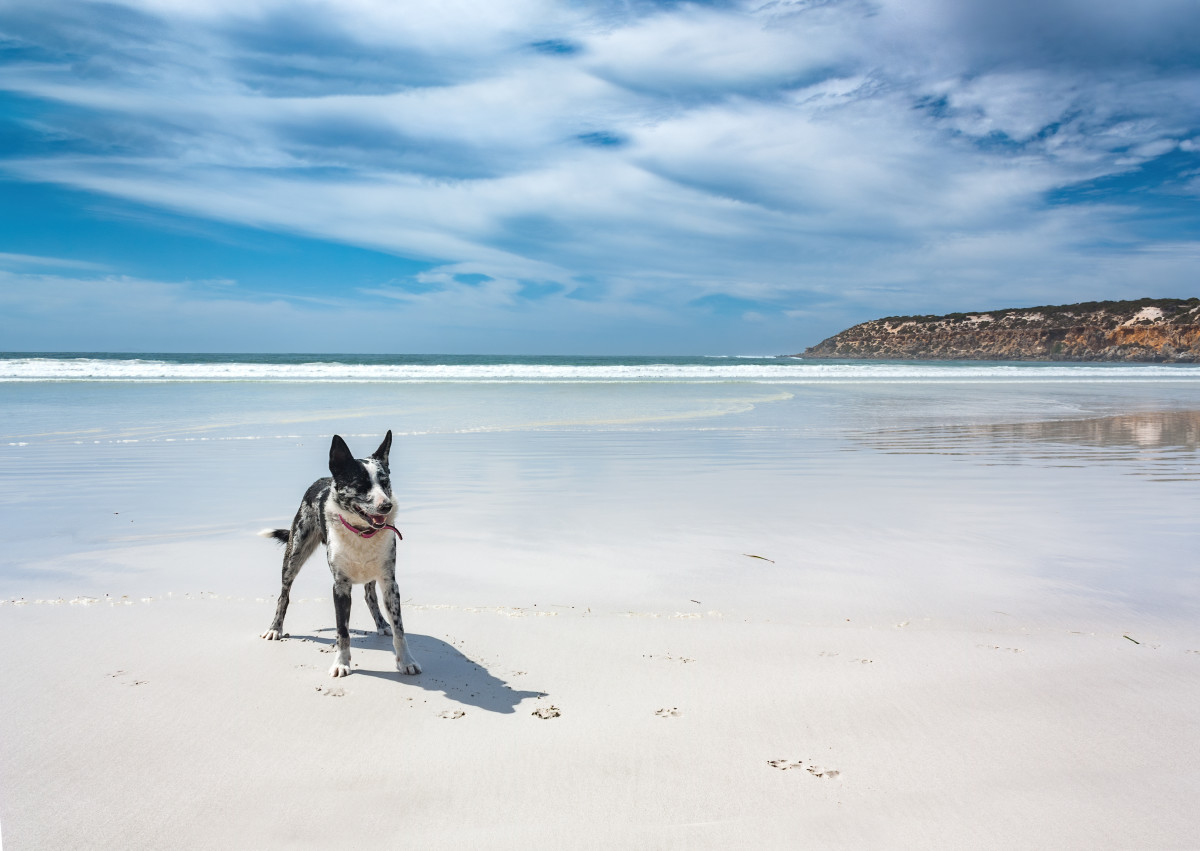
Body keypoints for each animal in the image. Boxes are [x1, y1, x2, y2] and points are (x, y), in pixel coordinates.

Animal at [258, 432, 422, 676]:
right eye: (361, 484)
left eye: (385, 483)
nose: (387, 506)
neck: (361, 532)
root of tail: (323, 479)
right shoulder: (340, 586)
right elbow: (342, 631)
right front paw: (341, 664)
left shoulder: (390, 583)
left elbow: (399, 629)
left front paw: (406, 661)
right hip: (294, 553)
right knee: (284, 595)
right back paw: (275, 628)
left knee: (370, 596)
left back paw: (382, 623)